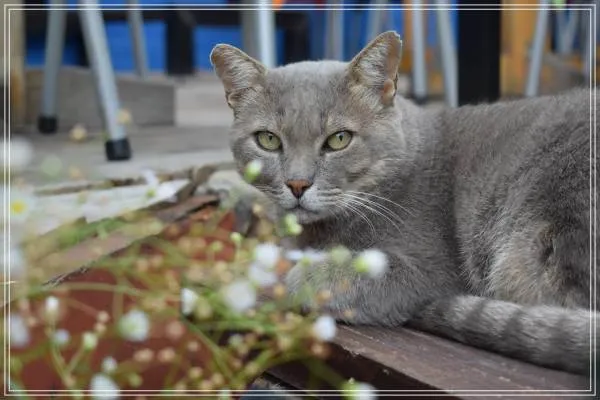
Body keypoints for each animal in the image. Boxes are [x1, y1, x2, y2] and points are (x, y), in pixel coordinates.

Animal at [210, 31, 598, 377]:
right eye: (268, 140)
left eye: (339, 139)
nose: (297, 184)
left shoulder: (431, 270)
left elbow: (326, 277)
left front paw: (299, 276)